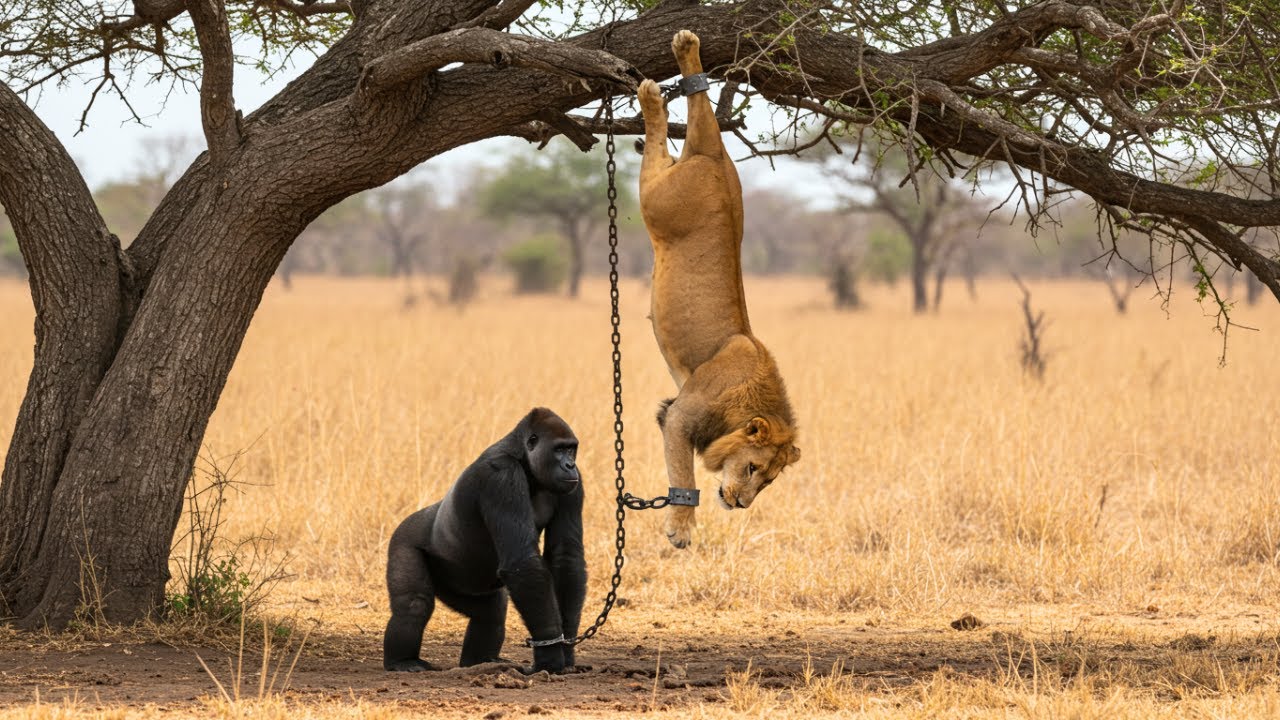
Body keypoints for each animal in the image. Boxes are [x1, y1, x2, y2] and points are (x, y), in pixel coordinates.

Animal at [382, 408, 586, 674]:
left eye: (571, 449)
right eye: (559, 450)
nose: (570, 465)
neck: (522, 459)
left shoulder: (574, 485)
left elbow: (566, 555)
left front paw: (567, 647)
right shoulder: (501, 477)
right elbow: (523, 561)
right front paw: (550, 654)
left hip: (460, 586)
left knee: (490, 612)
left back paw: (480, 662)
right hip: (403, 539)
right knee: (414, 604)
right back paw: (402, 660)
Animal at [637, 30, 801, 549]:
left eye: (767, 481)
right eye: (751, 469)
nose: (742, 504)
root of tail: (713, 157)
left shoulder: (668, 406)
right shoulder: (680, 417)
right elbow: (682, 475)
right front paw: (681, 528)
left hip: (700, 170)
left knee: (695, 105)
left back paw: (685, 55)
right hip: (658, 201)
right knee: (655, 143)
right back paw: (652, 94)